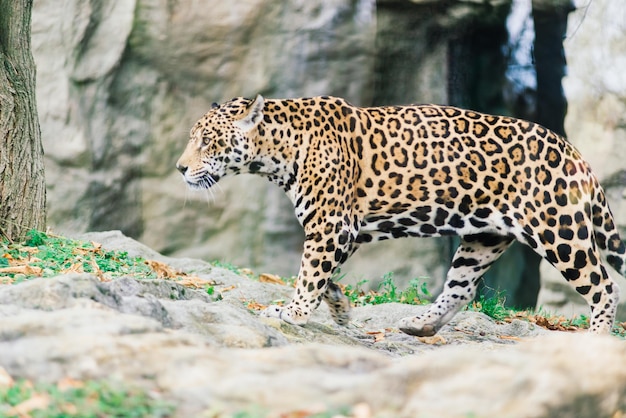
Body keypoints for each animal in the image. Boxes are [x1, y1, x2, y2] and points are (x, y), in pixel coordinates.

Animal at [176, 94, 624, 336]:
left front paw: (294, 312)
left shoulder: (331, 226)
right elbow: (323, 276)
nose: (180, 168)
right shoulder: (343, 231)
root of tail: (576, 154)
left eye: (207, 141)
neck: (276, 151)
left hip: (558, 229)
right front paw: (339, 309)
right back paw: (419, 324)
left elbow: (309, 273)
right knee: (462, 288)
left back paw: (595, 339)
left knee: (603, 285)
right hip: (484, 237)